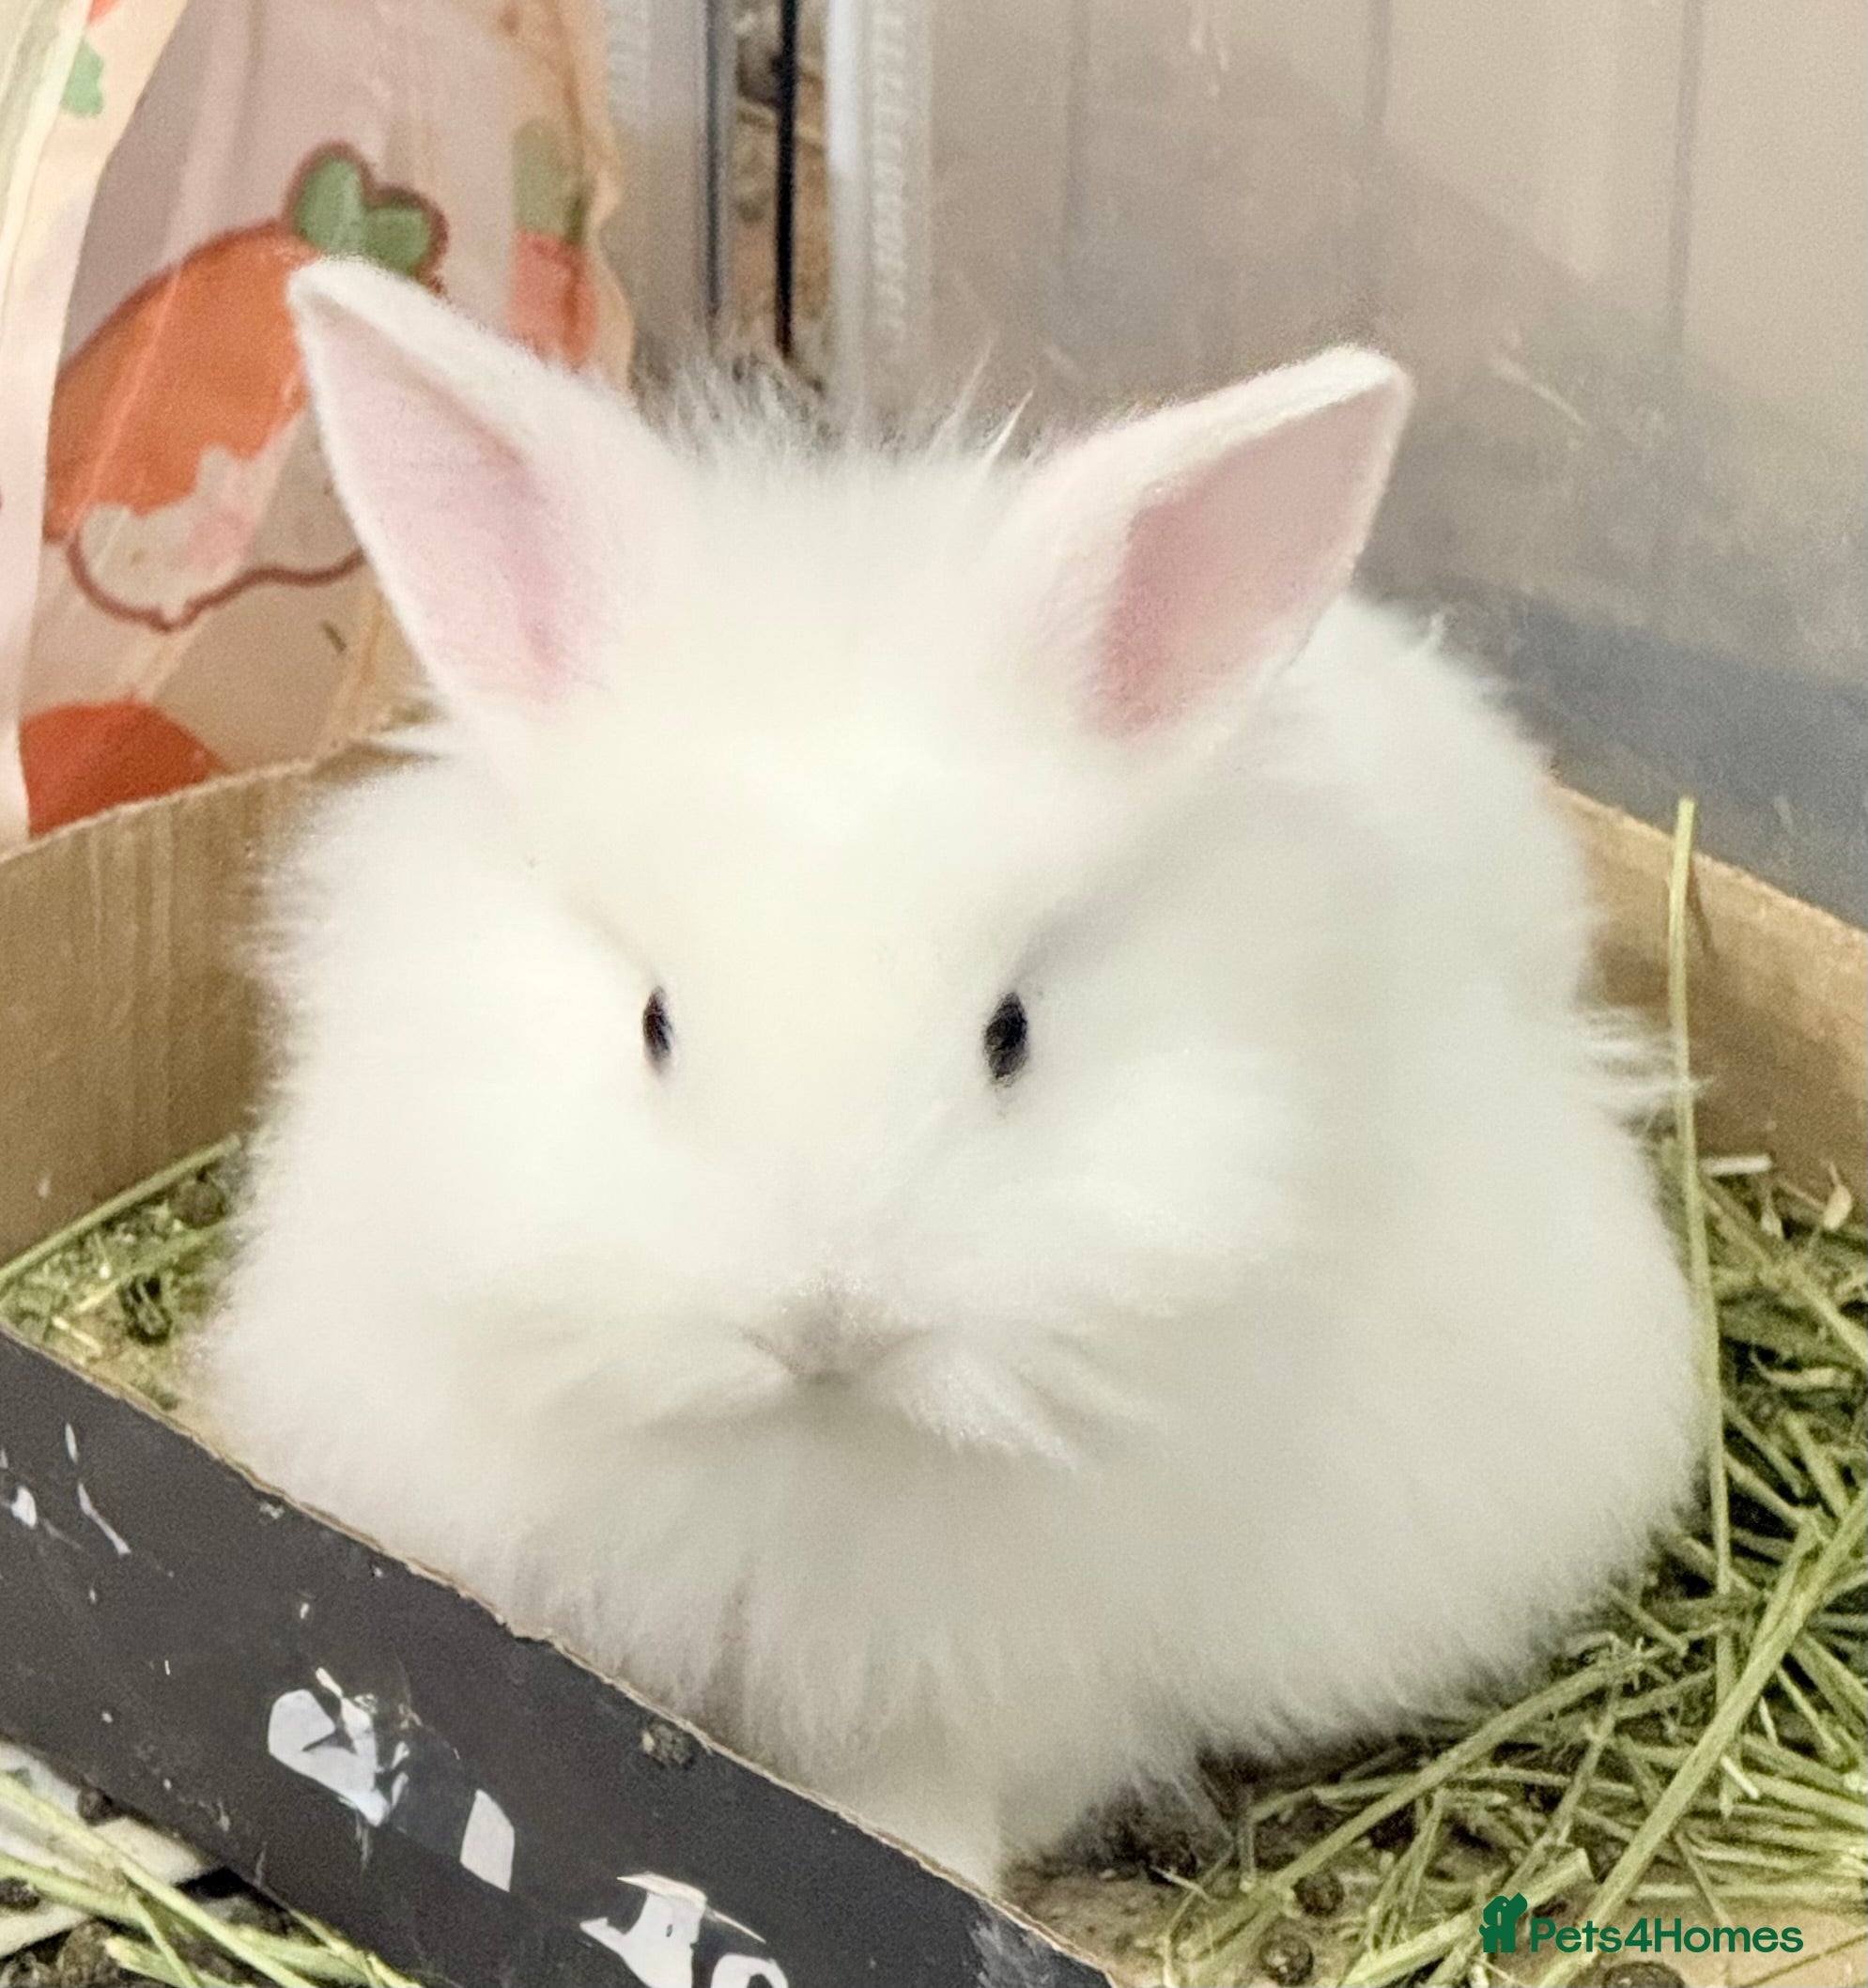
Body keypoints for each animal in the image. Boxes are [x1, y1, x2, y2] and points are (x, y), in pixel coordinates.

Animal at [197, 256, 1703, 1892]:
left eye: (1011, 1031)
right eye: (656, 1022)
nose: (825, 1321)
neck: (811, 1451)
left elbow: (944, 1793)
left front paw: (927, 1863)